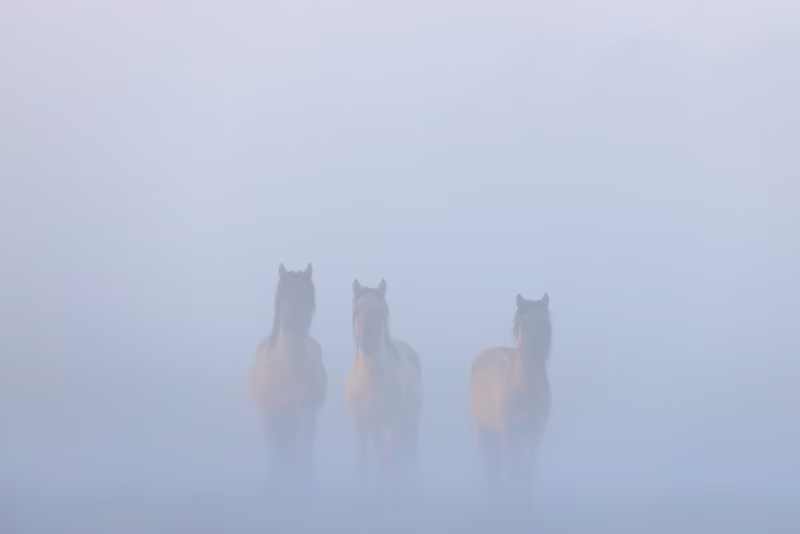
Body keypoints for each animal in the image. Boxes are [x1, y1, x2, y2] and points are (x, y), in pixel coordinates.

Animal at [249, 263, 327, 496]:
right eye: (285, 296)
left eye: (307, 296)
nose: (296, 325)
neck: (289, 368)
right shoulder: (270, 415)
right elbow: (276, 455)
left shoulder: (305, 414)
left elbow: (301, 454)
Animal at [345, 279, 423, 491]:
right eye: (357, 309)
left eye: (380, 311)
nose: (366, 344)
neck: (371, 382)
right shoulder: (360, 427)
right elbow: (362, 468)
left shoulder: (390, 427)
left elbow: (386, 468)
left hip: (409, 424)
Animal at [469, 292, 552, 497]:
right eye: (523, 324)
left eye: (546, 322)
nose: (539, 353)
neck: (527, 391)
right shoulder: (509, 434)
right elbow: (511, 472)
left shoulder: (535, 434)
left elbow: (526, 474)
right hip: (484, 431)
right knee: (491, 466)